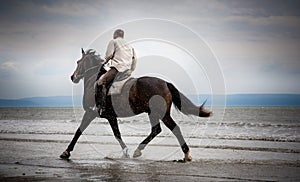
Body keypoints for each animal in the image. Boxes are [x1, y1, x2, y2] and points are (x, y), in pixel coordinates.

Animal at [59, 48, 212, 161]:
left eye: (78, 61)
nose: (72, 77)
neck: (94, 80)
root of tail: (165, 83)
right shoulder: (110, 116)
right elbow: (117, 134)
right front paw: (125, 152)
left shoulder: (91, 112)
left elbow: (79, 131)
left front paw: (66, 152)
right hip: (154, 113)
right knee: (159, 129)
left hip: (159, 113)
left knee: (171, 129)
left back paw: (183, 154)